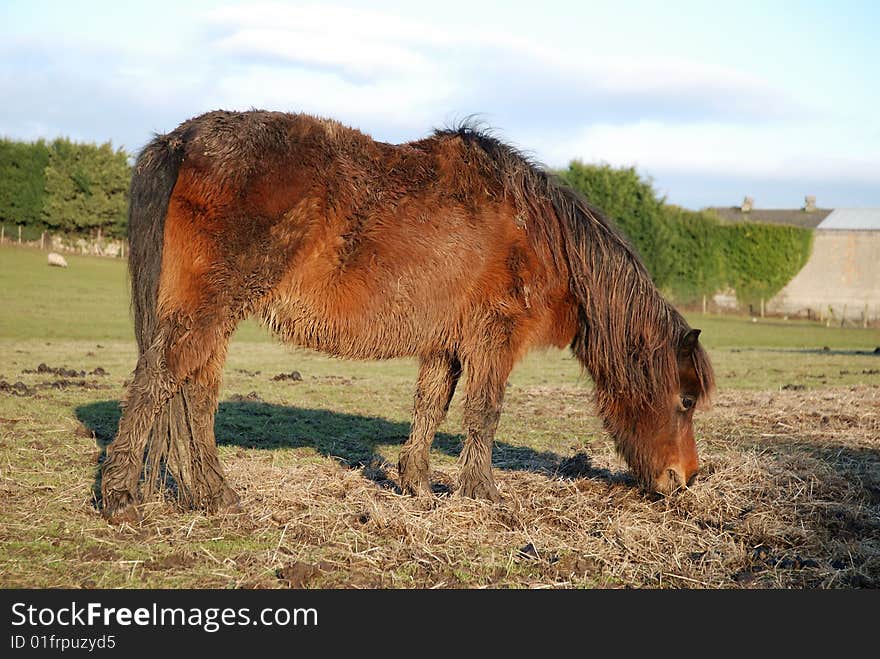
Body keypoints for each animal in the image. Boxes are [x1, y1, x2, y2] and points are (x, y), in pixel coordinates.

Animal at [98, 111, 716, 524]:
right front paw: (483, 494)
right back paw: (123, 499)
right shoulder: (494, 340)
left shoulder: (446, 343)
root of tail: (181, 140)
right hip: (207, 312)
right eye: (685, 400)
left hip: (213, 318)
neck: (541, 235)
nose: (684, 479)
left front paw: (416, 484)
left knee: (194, 394)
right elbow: (483, 413)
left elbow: (432, 404)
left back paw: (213, 494)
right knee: (158, 380)